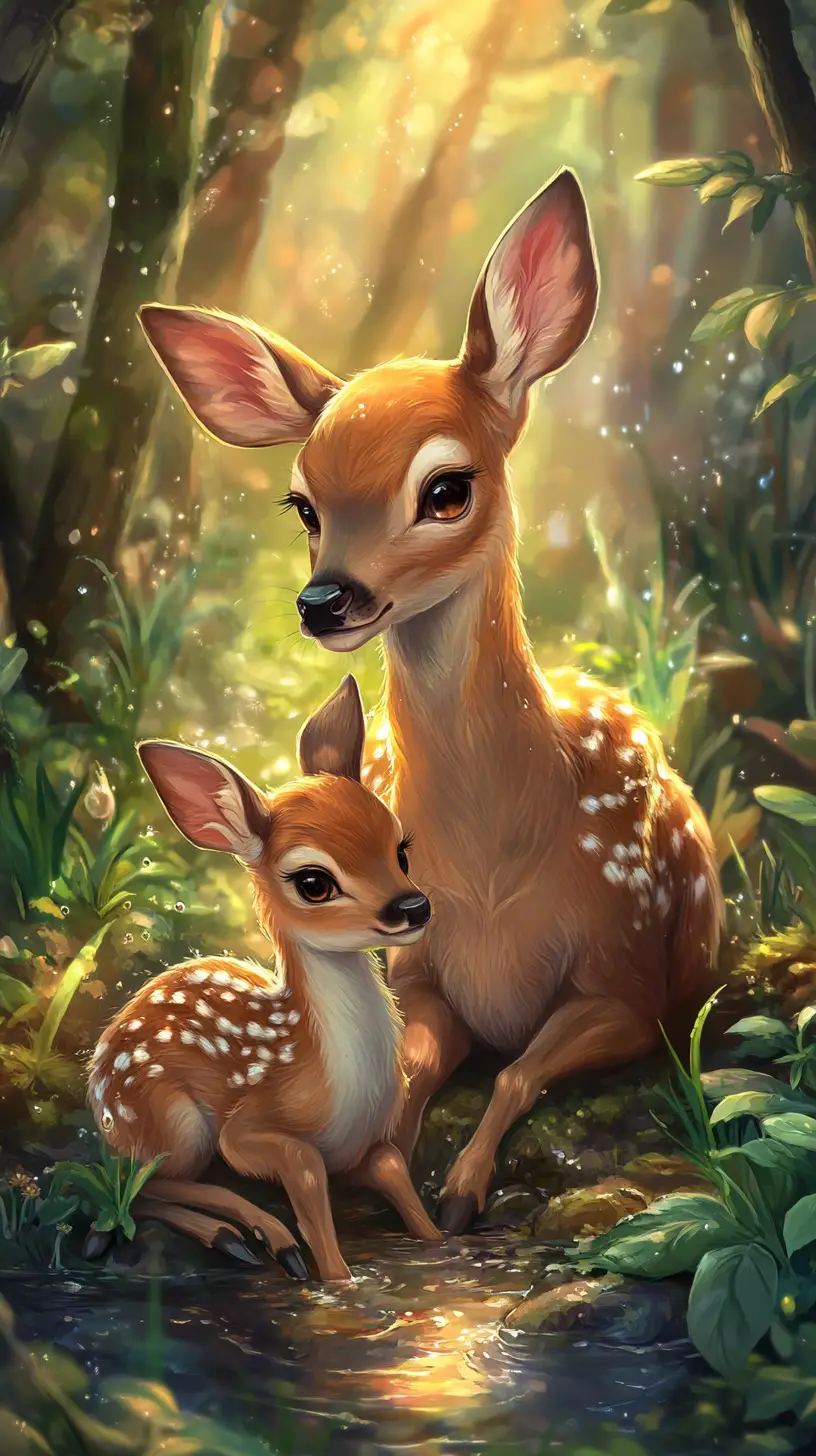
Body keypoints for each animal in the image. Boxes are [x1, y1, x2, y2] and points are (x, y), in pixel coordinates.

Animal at [87, 676, 441, 1280]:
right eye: (314, 882)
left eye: (401, 849)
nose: (414, 908)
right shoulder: (247, 1130)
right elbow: (303, 1164)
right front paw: (336, 1279)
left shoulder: (366, 1147)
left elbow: (395, 1168)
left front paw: (443, 1242)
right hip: (170, 1120)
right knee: (140, 1185)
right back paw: (251, 1237)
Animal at [138, 166, 724, 1237]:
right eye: (304, 504)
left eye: (447, 488)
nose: (325, 601)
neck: (496, 871)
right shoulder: (413, 970)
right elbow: (408, 1076)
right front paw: (382, 1173)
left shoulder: (633, 982)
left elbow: (519, 1071)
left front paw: (459, 1192)